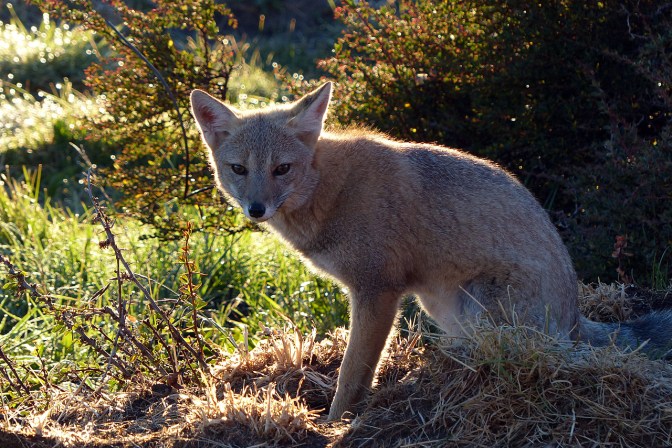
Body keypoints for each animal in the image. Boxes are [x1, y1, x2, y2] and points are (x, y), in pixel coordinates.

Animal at [190, 82, 672, 421]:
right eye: (239, 169)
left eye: (282, 169)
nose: (256, 209)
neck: (330, 189)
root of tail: (573, 316)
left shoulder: (377, 292)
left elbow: (352, 374)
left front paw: (336, 423)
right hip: (439, 305)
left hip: (480, 307)